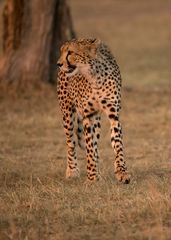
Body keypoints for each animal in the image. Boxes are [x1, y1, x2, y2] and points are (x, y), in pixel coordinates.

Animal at [56, 38, 130, 183]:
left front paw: (121, 172)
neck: (94, 75)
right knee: (70, 142)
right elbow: (89, 146)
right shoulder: (88, 116)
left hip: (97, 119)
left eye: (70, 52)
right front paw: (91, 177)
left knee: (95, 142)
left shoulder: (113, 114)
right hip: (67, 113)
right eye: (62, 52)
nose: (58, 64)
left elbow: (117, 143)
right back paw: (72, 170)